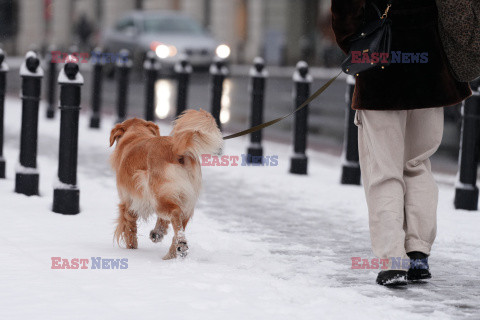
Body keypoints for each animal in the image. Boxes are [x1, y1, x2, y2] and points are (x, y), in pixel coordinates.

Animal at [109, 110, 223, 260]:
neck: (136, 135)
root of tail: (176, 150)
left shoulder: (128, 203)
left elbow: (129, 229)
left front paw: (131, 249)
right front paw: (158, 233)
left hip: (158, 197)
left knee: (175, 213)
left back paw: (179, 244)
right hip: (185, 200)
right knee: (180, 223)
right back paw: (173, 252)